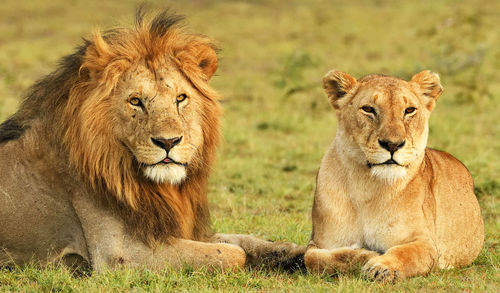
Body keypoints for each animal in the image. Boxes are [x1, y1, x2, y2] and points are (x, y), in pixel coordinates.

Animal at [0, 10, 304, 272]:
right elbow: (231, 254)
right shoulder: (120, 253)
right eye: (136, 101)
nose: (168, 142)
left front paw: (293, 253)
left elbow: (242, 240)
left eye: (180, 98)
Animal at [304, 69, 484, 280]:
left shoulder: (427, 244)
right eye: (368, 109)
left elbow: (406, 253)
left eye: (409, 110)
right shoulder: (318, 243)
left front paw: (381, 267)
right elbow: (314, 260)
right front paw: (366, 255)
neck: (367, 187)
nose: (392, 144)